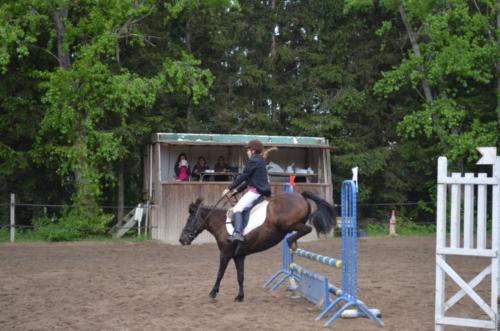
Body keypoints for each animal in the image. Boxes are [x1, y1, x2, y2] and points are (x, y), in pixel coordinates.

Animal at [178, 192, 334, 304]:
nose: (182, 239)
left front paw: (212, 293)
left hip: (287, 224)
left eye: (190, 219)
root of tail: (300, 196)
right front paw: (240, 296)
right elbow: (240, 276)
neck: (222, 224)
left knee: (307, 228)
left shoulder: (225, 253)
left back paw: (291, 242)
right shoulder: (239, 256)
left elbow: (220, 273)